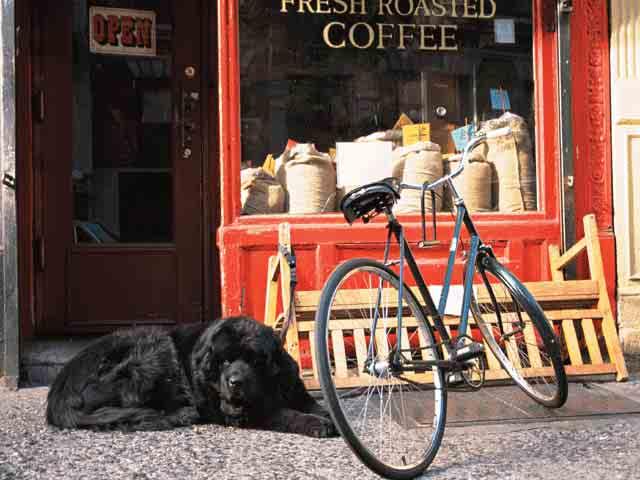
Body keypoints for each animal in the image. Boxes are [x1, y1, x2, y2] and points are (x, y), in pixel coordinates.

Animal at [47, 316, 338, 436]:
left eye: (255, 361)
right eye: (225, 361)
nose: (235, 382)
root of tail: (61, 386)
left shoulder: (290, 386)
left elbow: (311, 403)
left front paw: (326, 415)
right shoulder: (238, 409)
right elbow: (282, 413)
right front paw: (316, 424)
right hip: (153, 348)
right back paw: (181, 414)